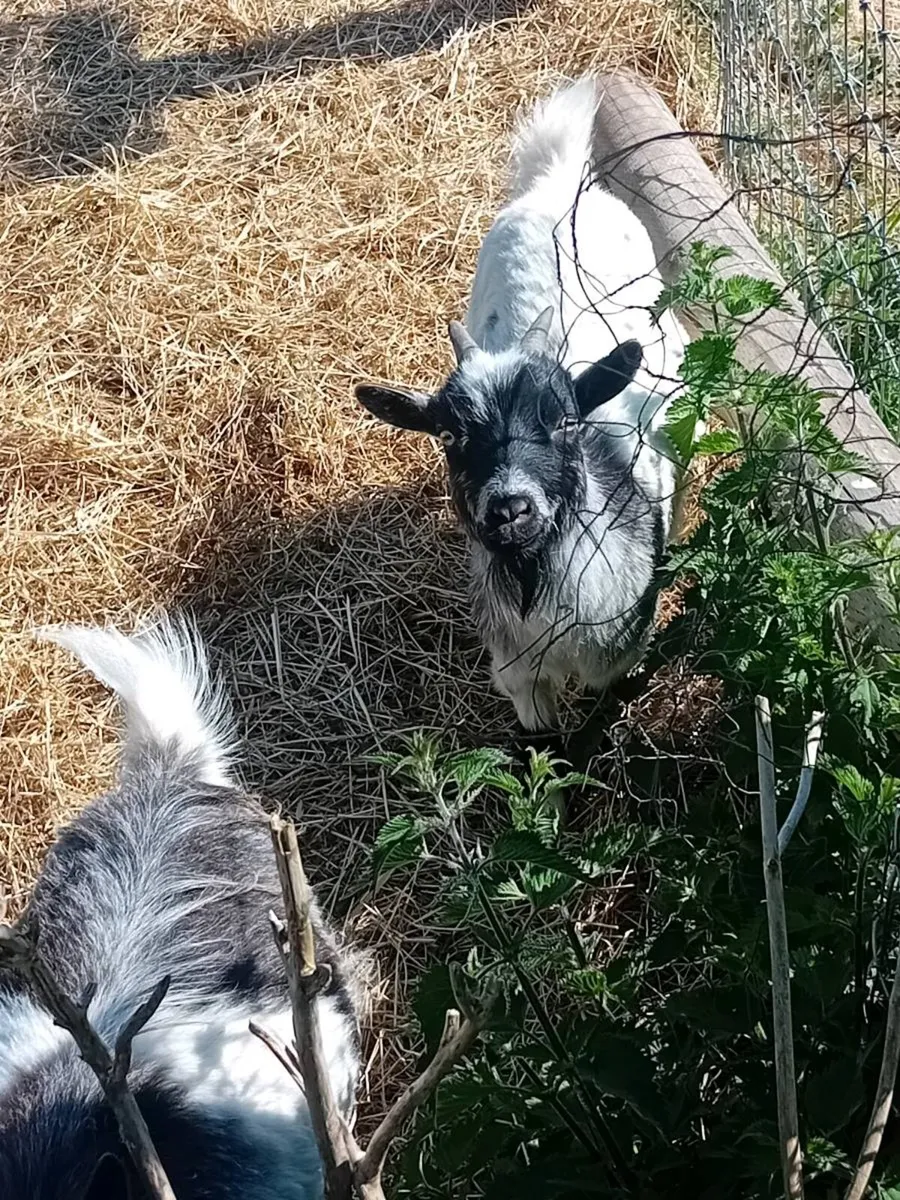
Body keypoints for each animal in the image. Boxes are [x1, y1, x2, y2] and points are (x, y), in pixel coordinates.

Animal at [355, 76, 690, 731]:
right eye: (449, 436)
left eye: (564, 421)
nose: (509, 509)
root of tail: (558, 180)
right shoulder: (518, 676)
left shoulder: (619, 658)